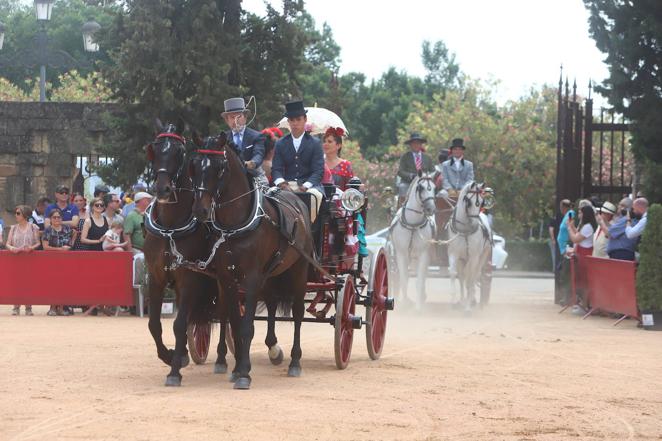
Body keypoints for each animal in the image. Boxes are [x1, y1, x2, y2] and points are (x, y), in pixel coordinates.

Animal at [187, 135, 314, 388]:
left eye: (220, 168)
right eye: (194, 165)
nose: (200, 210)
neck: (235, 224)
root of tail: (296, 199)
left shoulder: (252, 278)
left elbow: (246, 327)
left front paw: (244, 373)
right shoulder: (227, 277)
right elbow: (235, 323)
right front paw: (236, 369)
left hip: (299, 271)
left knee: (297, 314)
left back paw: (295, 363)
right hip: (272, 275)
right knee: (272, 304)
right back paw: (274, 349)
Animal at [386, 172, 438, 310]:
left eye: (434, 188)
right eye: (420, 188)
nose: (431, 209)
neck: (413, 224)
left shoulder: (423, 253)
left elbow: (420, 280)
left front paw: (418, 307)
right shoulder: (401, 253)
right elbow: (404, 278)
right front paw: (404, 303)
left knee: (422, 276)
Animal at [448, 180, 496, 312]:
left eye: (482, 202)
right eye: (468, 201)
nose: (476, 224)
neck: (464, 230)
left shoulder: (474, 256)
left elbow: (471, 277)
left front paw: (468, 307)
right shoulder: (454, 253)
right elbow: (454, 274)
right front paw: (454, 302)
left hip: (482, 256)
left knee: (475, 275)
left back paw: (474, 301)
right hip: (463, 259)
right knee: (463, 276)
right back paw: (462, 300)